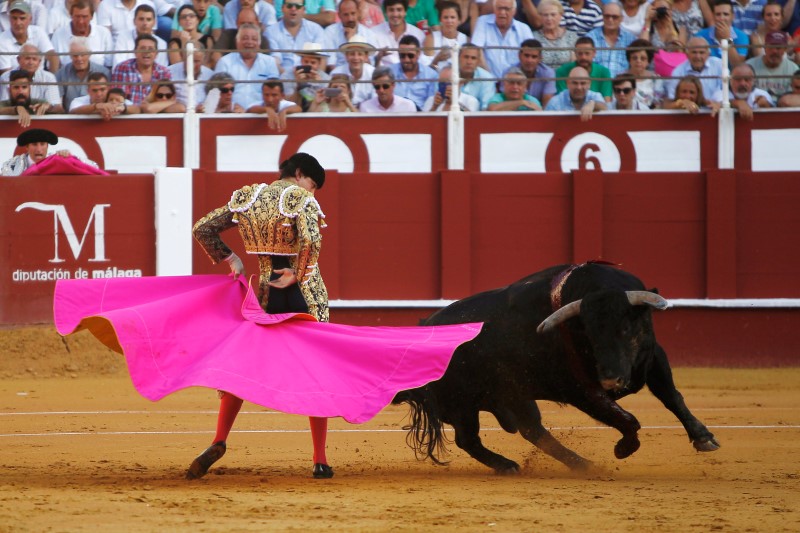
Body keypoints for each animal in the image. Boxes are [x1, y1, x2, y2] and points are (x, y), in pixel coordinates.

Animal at [392, 260, 720, 472]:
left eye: (627, 328)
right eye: (588, 332)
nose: (611, 381)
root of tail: (423, 327)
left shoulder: (652, 357)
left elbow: (671, 396)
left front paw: (703, 437)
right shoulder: (580, 389)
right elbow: (628, 420)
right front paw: (623, 449)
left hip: (509, 398)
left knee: (529, 431)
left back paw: (576, 464)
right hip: (465, 403)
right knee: (471, 439)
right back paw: (515, 466)